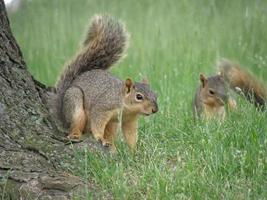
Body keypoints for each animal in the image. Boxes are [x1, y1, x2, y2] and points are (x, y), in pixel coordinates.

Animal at [52, 15, 159, 150]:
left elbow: (130, 134)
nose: (155, 110)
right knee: (76, 124)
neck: (127, 108)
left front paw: (134, 150)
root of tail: (62, 115)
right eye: (138, 97)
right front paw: (100, 137)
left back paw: (112, 146)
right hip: (75, 102)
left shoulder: (129, 120)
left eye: (155, 94)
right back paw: (76, 134)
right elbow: (97, 122)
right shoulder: (103, 107)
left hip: (112, 123)